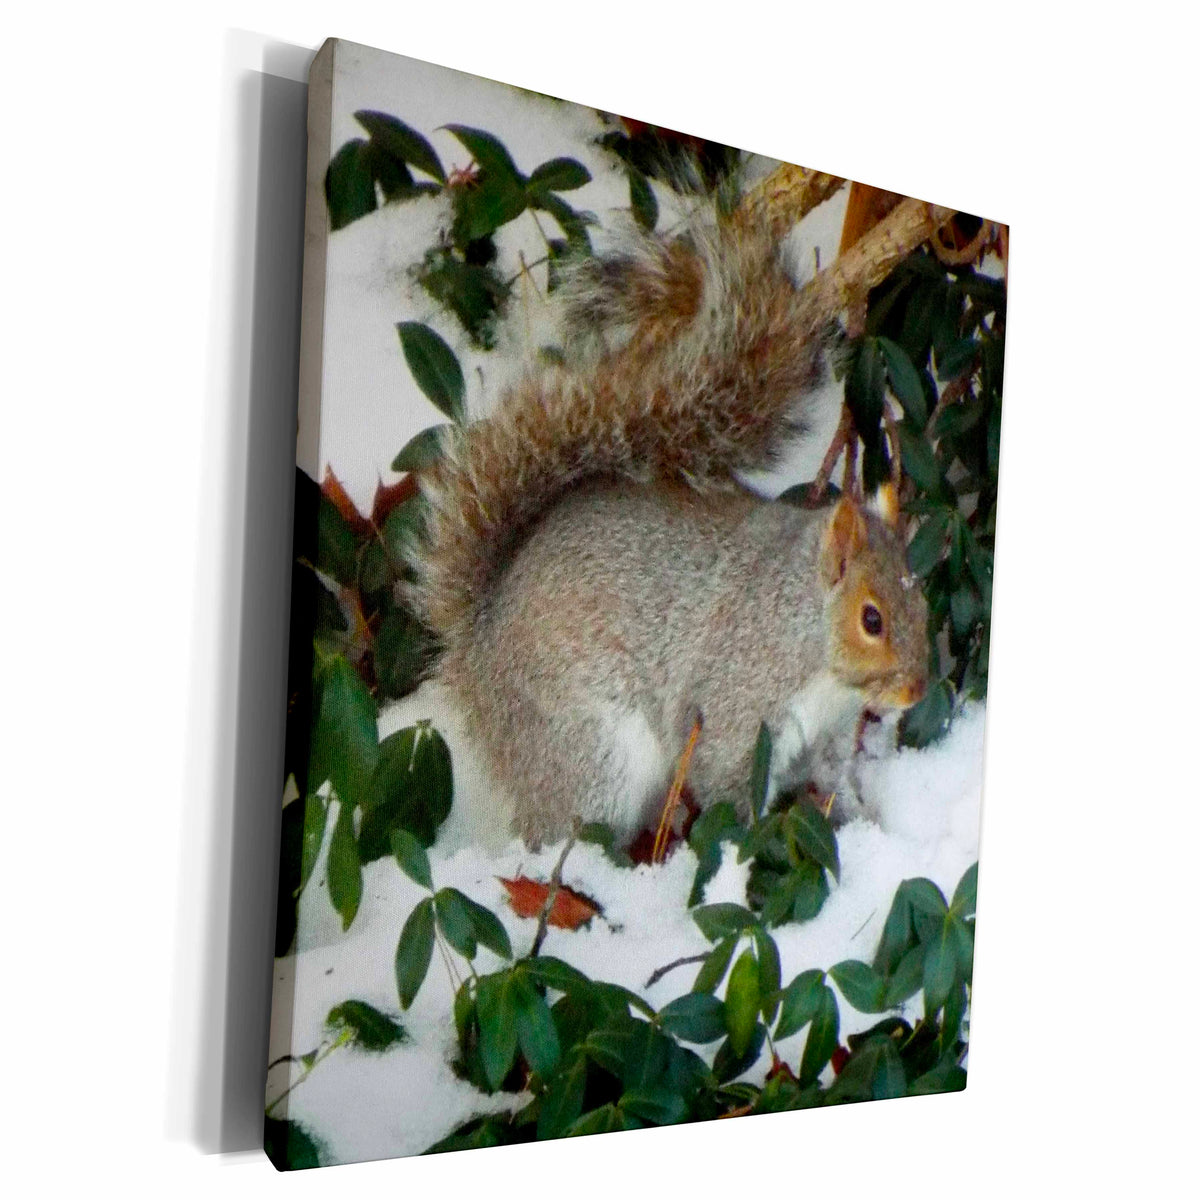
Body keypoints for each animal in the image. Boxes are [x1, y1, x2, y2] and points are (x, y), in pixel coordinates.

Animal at [401, 210, 929, 848]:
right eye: (871, 620)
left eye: (923, 601)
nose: (918, 690)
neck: (805, 631)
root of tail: (478, 640)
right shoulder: (735, 705)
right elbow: (726, 783)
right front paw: (751, 843)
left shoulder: (824, 739)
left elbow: (830, 780)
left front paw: (858, 819)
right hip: (589, 750)